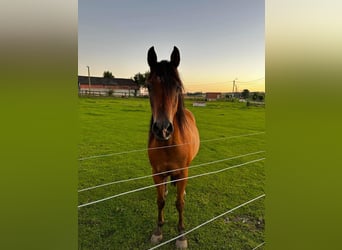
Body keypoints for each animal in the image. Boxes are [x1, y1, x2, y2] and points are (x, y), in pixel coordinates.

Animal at [145, 46, 199, 248]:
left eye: (176, 87)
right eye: (149, 86)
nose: (162, 129)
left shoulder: (183, 172)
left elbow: (179, 204)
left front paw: (181, 235)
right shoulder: (157, 173)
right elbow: (160, 201)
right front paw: (158, 231)